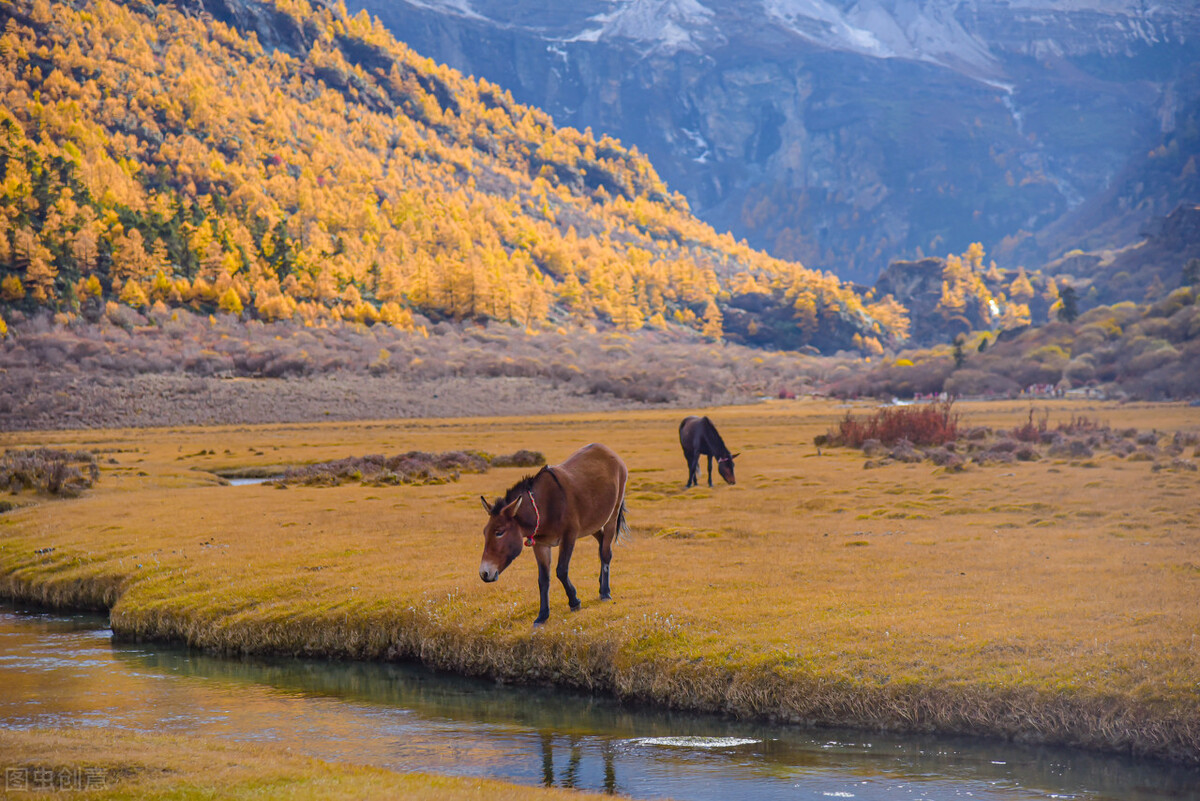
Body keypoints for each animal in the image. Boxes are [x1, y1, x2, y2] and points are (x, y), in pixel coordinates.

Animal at [477, 443, 628, 623]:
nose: (484, 574)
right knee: (601, 545)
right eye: (485, 532)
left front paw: (574, 601)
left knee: (606, 552)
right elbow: (543, 579)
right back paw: (601, 585)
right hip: (593, 523)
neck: (543, 507)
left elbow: (561, 570)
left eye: (499, 532)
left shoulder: (569, 537)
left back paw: (605, 592)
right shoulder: (540, 544)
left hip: (612, 515)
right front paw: (542, 615)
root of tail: (606, 450)